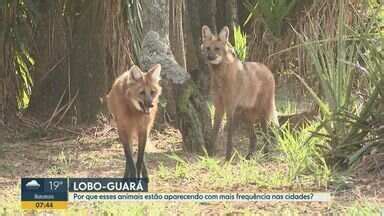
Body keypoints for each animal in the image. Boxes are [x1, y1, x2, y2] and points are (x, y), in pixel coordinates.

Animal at [201, 25, 280, 160]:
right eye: (208, 48)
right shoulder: (219, 106)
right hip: (246, 113)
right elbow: (215, 130)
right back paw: (249, 156)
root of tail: (268, 69)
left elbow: (229, 134)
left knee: (266, 133)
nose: (210, 57)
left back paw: (266, 154)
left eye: (217, 49)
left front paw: (228, 157)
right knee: (254, 137)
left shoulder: (230, 107)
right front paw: (210, 154)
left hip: (262, 110)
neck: (220, 77)